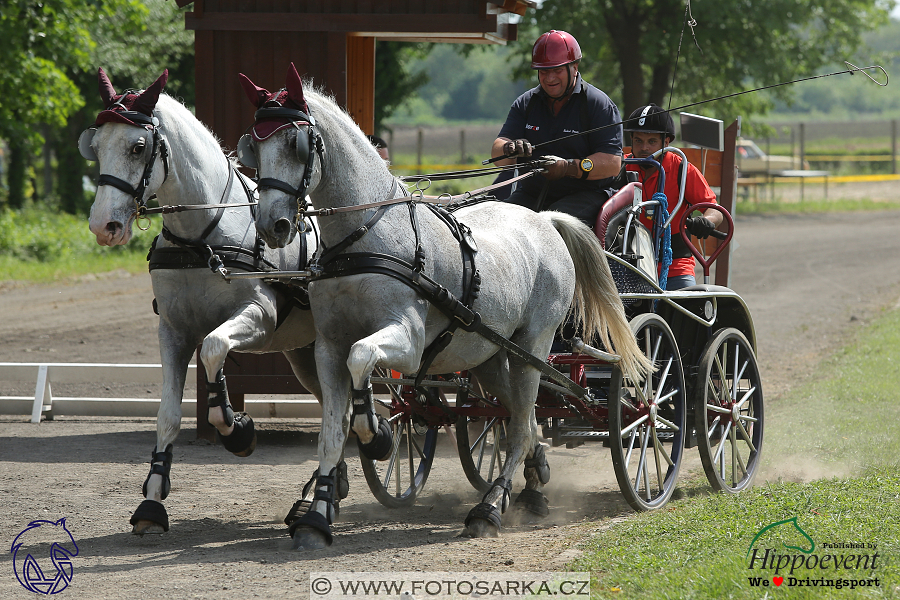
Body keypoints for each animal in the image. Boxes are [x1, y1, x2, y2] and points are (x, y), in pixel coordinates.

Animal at [82, 69, 330, 536]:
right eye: (95, 144)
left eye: (137, 146)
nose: (103, 225)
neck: (202, 235)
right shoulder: (174, 331)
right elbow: (168, 413)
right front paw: (152, 499)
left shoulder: (259, 316)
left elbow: (215, 347)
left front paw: (237, 429)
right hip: (306, 355)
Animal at [239, 64, 648, 548]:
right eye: (254, 145)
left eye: (296, 144)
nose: (274, 225)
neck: (366, 235)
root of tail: (544, 220)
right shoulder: (327, 348)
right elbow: (332, 431)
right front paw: (316, 515)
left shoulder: (407, 341)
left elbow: (363, 362)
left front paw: (376, 435)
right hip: (490, 354)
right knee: (519, 419)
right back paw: (531, 481)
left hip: (533, 347)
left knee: (523, 424)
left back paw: (489, 508)